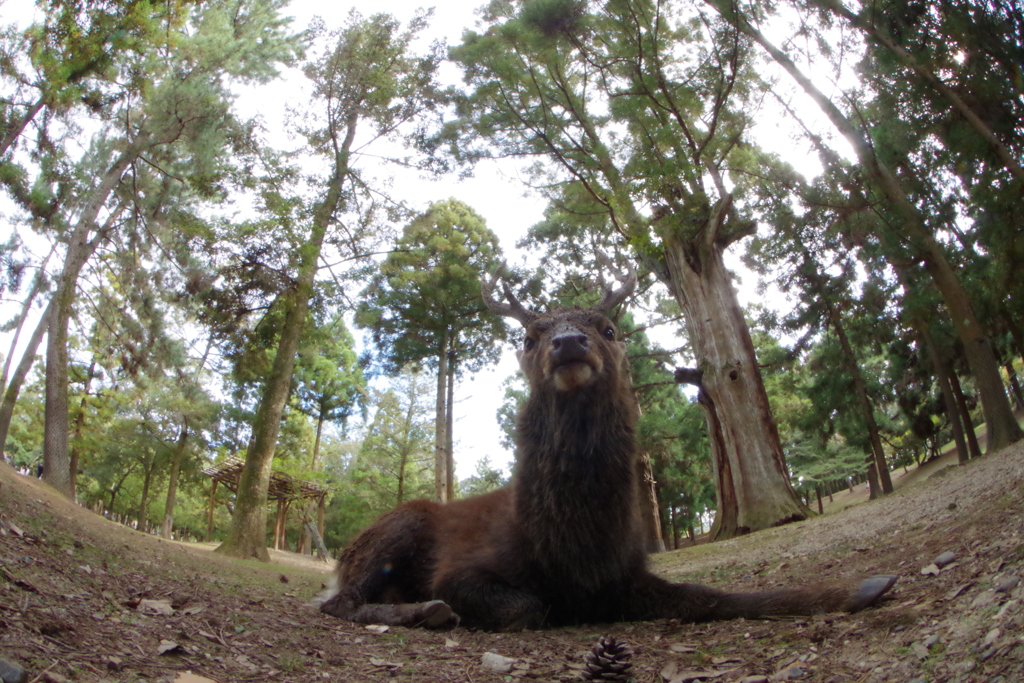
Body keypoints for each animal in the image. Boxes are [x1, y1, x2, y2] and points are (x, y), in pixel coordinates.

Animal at [317, 262, 897, 630]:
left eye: (610, 328)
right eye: (528, 337)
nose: (568, 342)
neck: (574, 549)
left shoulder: (626, 576)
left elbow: (710, 596)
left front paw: (864, 586)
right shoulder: (461, 567)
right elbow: (527, 608)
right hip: (396, 527)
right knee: (336, 600)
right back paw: (422, 612)